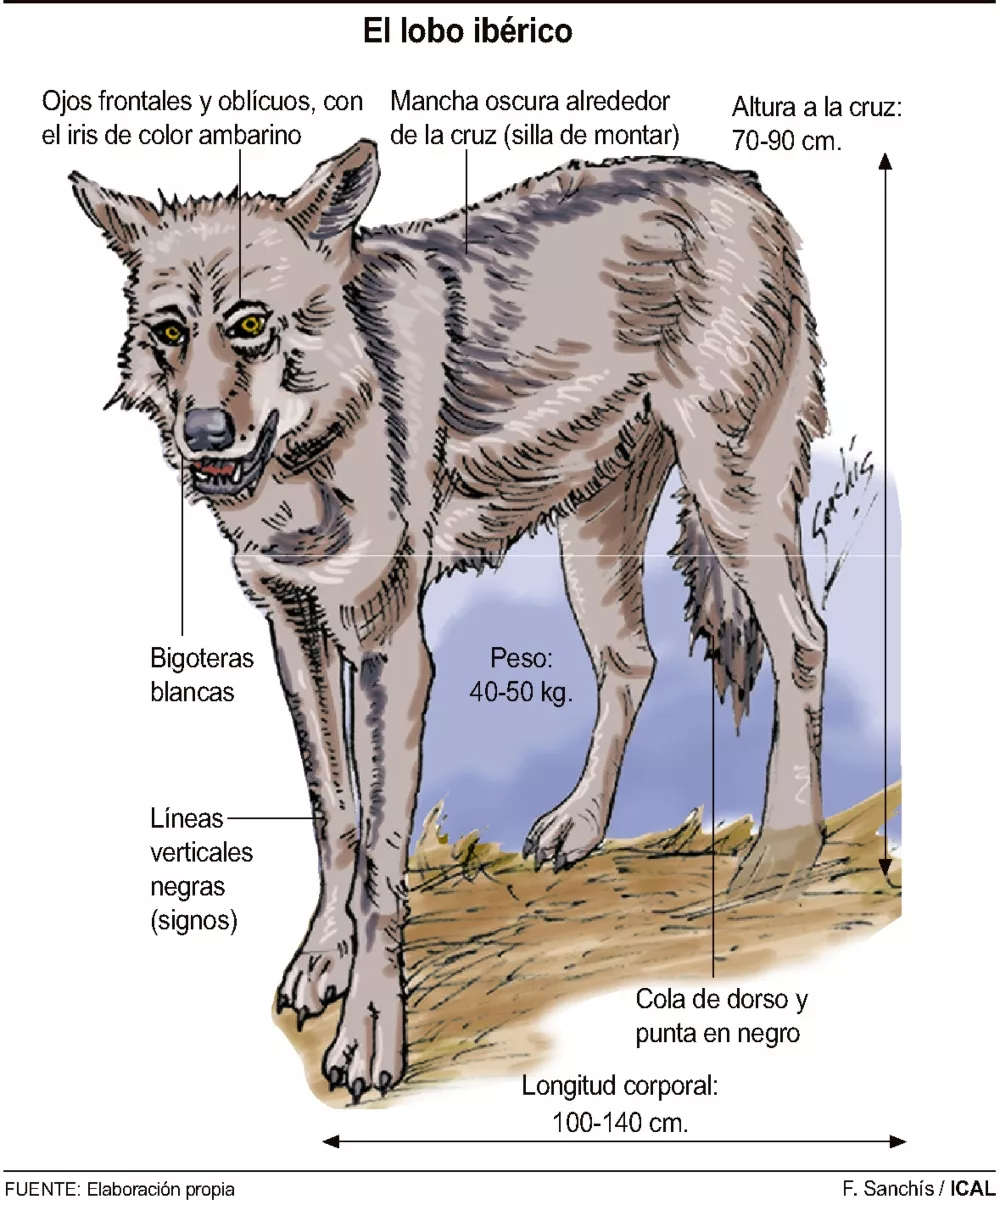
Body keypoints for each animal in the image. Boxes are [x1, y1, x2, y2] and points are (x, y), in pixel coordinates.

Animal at [73, 141, 829, 1101]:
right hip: (592, 537)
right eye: (172, 333)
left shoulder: (391, 646)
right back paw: (580, 826)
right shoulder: (294, 630)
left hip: (734, 502)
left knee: (804, 640)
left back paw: (788, 845)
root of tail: (741, 186)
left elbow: (379, 866)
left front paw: (370, 1035)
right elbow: (336, 819)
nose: (204, 435)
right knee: (634, 661)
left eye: (249, 325)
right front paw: (322, 960)